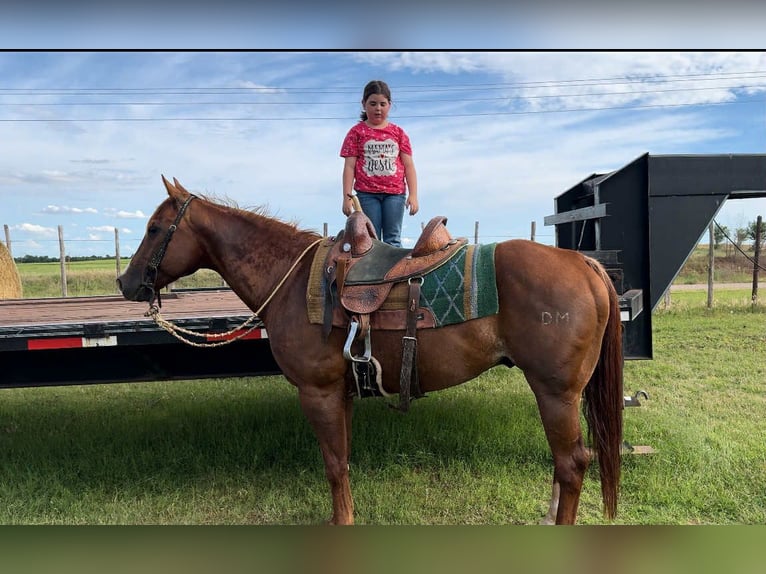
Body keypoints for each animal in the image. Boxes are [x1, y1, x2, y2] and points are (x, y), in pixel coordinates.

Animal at [117, 176, 624, 525]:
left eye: (155, 228)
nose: (126, 282)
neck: (290, 278)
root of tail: (584, 263)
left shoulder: (317, 393)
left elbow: (333, 465)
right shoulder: (340, 394)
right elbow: (341, 460)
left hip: (555, 393)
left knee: (573, 463)